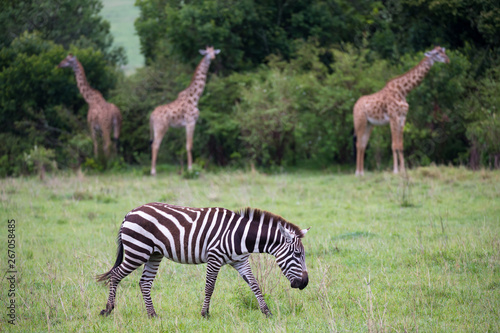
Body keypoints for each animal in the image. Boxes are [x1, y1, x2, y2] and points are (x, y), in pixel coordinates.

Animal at [97, 201, 308, 318]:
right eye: (297, 255)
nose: (305, 283)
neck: (240, 235)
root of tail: (130, 212)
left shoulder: (240, 261)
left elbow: (255, 285)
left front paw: (267, 312)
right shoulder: (214, 258)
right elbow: (209, 287)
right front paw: (205, 313)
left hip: (153, 254)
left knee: (144, 283)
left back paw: (152, 315)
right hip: (137, 251)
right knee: (115, 275)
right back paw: (108, 309)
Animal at [148, 47, 219, 176]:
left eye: (214, 52)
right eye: (206, 53)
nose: (213, 57)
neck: (195, 97)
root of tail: (151, 115)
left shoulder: (190, 123)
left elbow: (189, 145)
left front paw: (190, 168)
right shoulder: (190, 122)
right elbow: (189, 146)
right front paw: (190, 169)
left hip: (157, 128)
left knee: (153, 144)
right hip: (161, 127)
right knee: (155, 145)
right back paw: (153, 171)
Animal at [352, 46, 450, 176]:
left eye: (443, 51)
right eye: (437, 53)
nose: (448, 60)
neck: (403, 91)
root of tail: (355, 105)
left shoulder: (403, 118)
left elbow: (401, 145)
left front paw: (403, 170)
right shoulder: (393, 117)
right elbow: (394, 145)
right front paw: (395, 170)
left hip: (369, 124)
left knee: (363, 144)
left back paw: (362, 172)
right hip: (360, 122)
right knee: (358, 144)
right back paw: (357, 173)